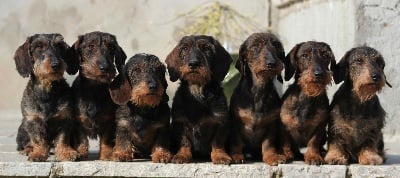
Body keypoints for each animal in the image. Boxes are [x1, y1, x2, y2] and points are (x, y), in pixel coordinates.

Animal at [14, 33, 78, 161]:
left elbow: (63, 139)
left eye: (60, 46)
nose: (56, 64)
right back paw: (28, 150)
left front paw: (66, 152)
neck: (47, 91)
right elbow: (38, 139)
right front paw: (38, 153)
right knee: (25, 144)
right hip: (23, 129)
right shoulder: (33, 120)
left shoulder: (65, 119)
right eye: (39, 47)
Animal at [67, 31, 126, 160]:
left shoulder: (109, 123)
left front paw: (106, 156)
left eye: (111, 47)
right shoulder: (78, 123)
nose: (105, 68)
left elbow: (105, 141)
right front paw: (81, 155)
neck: (94, 90)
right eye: (90, 46)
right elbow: (82, 141)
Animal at [166, 34, 233, 164]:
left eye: (207, 48)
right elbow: (184, 142)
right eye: (185, 48)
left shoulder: (220, 121)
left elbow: (217, 142)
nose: (193, 63)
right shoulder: (180, 122)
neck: (197, 92)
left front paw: (220, 156)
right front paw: (182, 155)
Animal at [228, 32, 288, 165]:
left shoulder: (271, 124)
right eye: (255, 45)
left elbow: (268, 144)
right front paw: (236, 155)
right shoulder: (235, 122)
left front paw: (271, 157)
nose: (272, 63)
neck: (259, 90)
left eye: (276, 45)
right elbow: (236, 142)